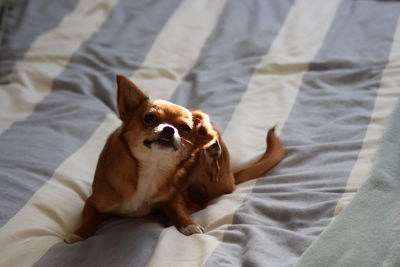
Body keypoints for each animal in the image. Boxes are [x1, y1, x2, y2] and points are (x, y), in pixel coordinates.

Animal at [65, 75, 284, 245]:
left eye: (185, 128)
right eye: (150, 118)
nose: (169, 129)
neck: (152, 167)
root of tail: (231, 177)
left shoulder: (173, 197)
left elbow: (178, 209)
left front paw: (188, 224)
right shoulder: (93, 203)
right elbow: (89, 220)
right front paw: (78, 234)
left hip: (215, 179)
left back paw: (211, 145)